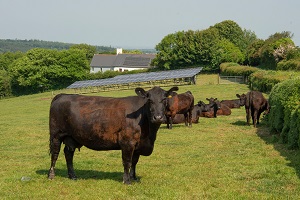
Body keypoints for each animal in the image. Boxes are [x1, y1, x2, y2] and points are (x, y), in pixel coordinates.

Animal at [47, 86, 178, 184]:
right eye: (149, 100)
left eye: (165, 99)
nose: (158, 117)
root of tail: (62, 95)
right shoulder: (127, 142)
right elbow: (127, 161)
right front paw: (127, 180)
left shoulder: (137, 144)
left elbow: (134, 162)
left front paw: (134, 178)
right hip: (56, 135)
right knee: (55, 154)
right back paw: (51, 175)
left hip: (72, 137)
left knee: (68, 154)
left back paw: (72, 176)